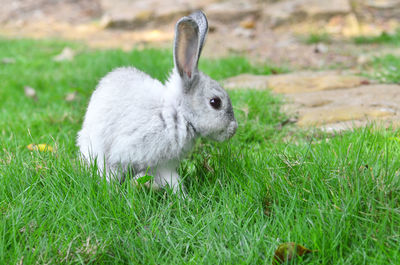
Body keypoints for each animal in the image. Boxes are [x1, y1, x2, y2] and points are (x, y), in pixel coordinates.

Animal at [77, 10, 238, 195]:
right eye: (215, 102)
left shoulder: (163, 165)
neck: (177, 114)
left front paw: (184, 198)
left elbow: (173, 181)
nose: (234, 129)